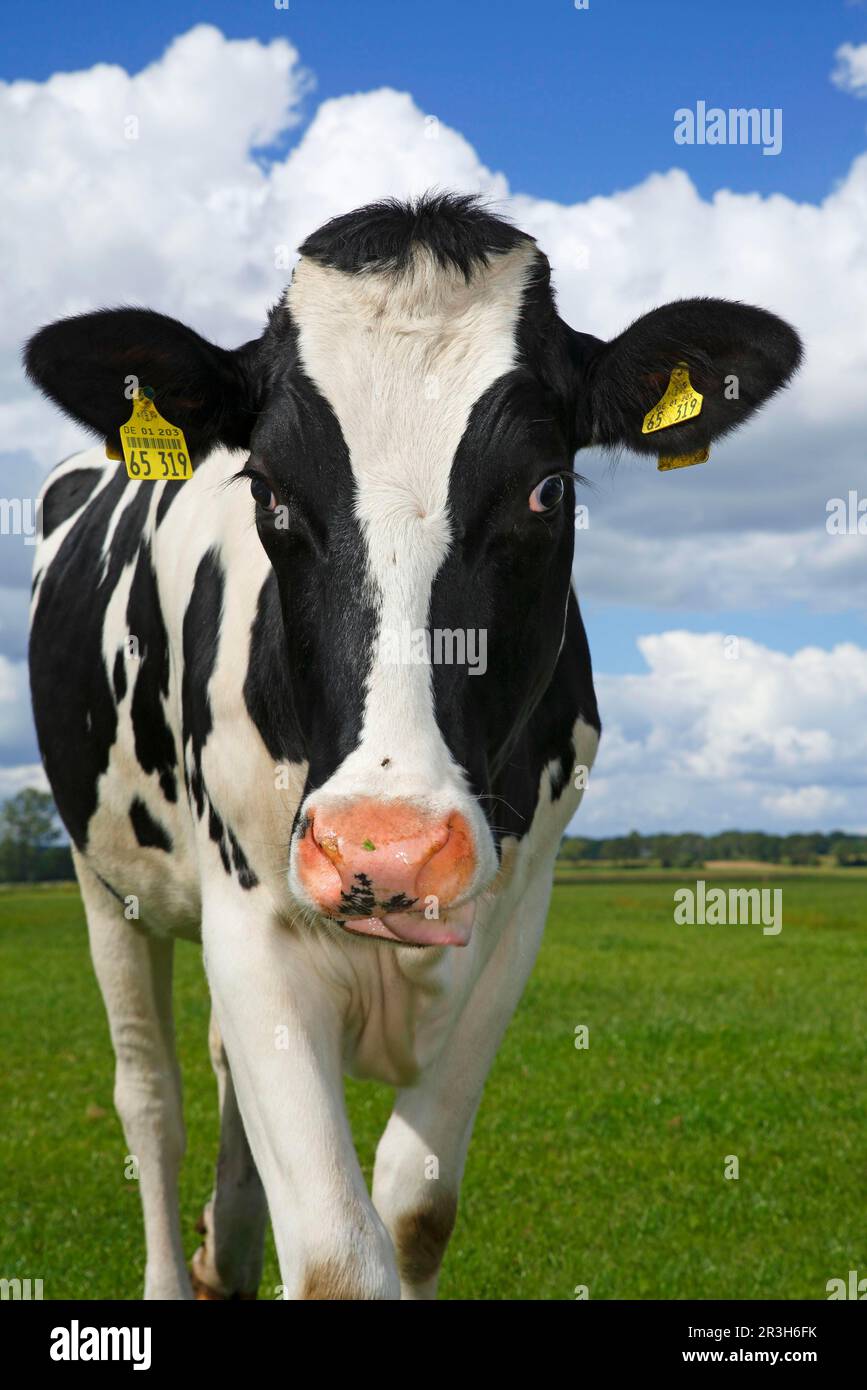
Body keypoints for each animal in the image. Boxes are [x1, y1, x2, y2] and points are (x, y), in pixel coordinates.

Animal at [25, 192, 801, 1300]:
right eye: (266, 489)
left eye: (550, 488)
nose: (384, 851)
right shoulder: (249, 922)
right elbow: (340, 1258)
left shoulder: (514, 923)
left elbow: (415, 1212)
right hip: (105, 883)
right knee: (151, 1101)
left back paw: (229, 1250)